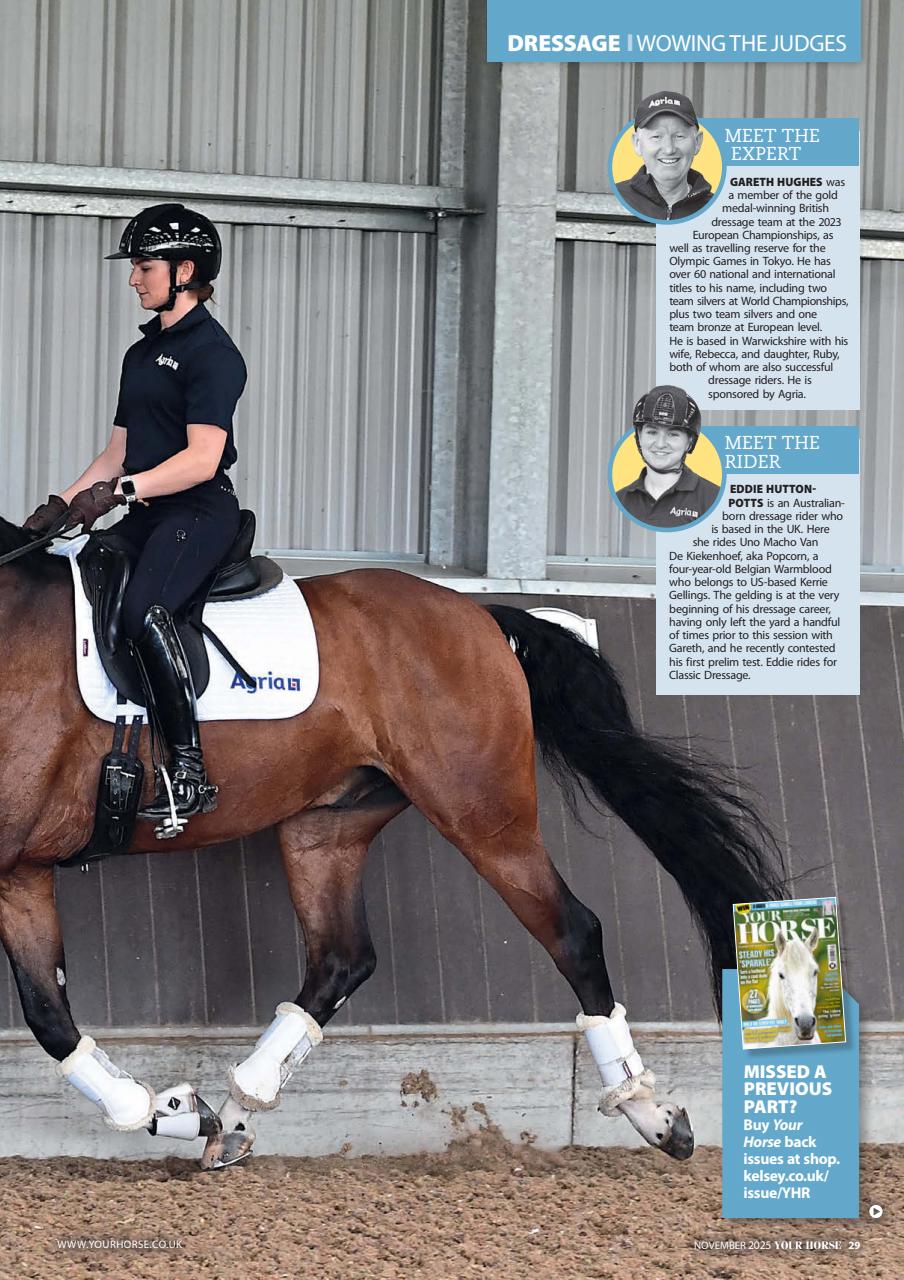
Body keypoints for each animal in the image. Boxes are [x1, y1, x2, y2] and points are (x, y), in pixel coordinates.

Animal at [0, 513, 784, 1167]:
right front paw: (172, 1112)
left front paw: (171, 1111)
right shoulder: (19, 872)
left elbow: (46, 1017)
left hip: (483, 814)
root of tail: (476, 614)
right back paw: (240, 1112)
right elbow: (48, 1015)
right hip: (326, 828)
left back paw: (655, 1117)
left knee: (573, 932)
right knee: (342, 959)